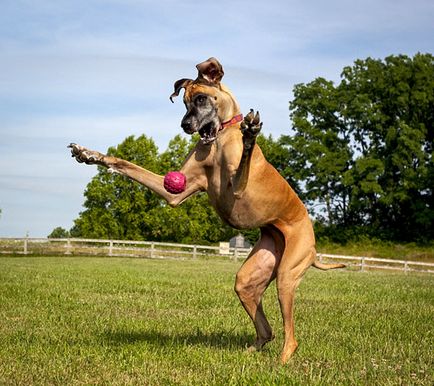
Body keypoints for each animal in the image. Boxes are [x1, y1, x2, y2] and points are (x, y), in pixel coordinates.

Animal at [69, 58, 344, 364]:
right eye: (184, 102)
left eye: (200, 98)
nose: (185, 125)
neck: (220, 139)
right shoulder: (174, 192)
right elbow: (126, 164)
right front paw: (89, 154)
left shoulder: (238, 189)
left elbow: (244, 160)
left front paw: (251, 134)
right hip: (251, 277)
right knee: (266, 327)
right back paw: (251, 350)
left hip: (287, 274)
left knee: (290, 337)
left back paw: (281, 361)